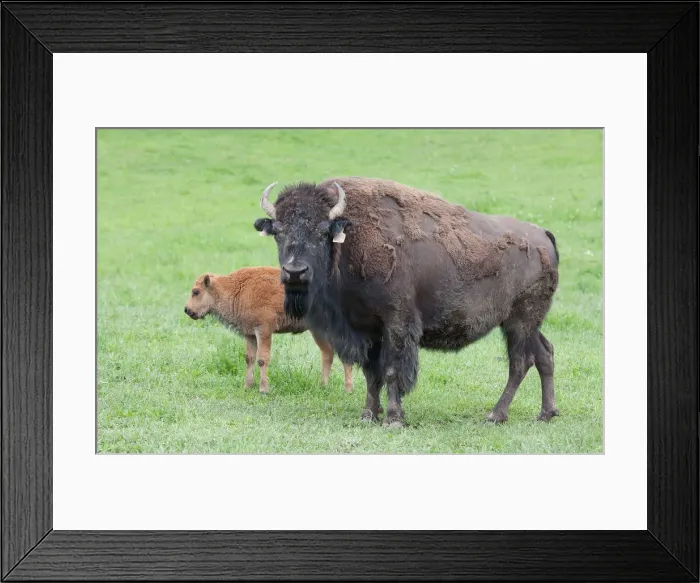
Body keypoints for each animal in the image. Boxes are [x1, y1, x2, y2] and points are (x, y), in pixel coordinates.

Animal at [184, 267, 354, 394]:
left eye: (196, 292)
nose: (187, 310)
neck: (236, 288)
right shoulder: (250, 334)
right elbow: (249, 358)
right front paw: (247, 386)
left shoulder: (264, 330)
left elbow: (262, 358)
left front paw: (264, 389)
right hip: (318, 332)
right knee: (327, 354)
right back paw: (322, 386)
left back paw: (348, 390)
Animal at [253, 177, 560, 427]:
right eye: (278, 232)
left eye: (322, 231)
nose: (295, 272)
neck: (349, 239)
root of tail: (543, 235)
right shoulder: (365, 328)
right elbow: (371, 373)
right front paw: (368, 415)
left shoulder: (397, 323)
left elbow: (391, 371)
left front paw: (394, 419)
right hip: (526, 323)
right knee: (544, 354)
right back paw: (546, 414)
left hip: (519, 321)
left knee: (520, 363)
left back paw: (495, 415)